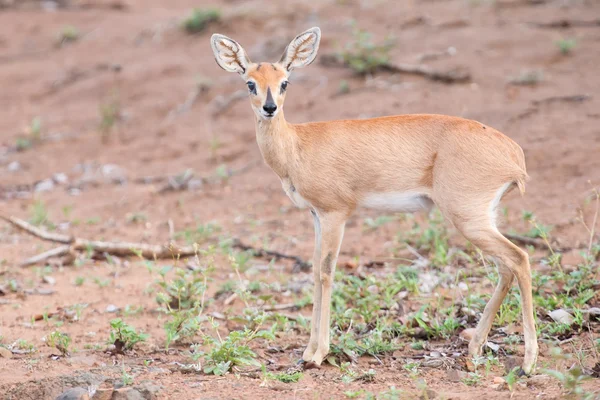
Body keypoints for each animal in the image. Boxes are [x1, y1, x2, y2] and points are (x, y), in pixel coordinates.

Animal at [211, 26, 540, 374]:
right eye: (250, 82)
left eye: (285, 81)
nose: (270, 108)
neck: (298, 145)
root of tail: (512, 152)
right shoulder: (316, 215)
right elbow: (314, 269)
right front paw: (308, 351)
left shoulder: (336, 213)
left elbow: (326, 271)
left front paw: (318, 354)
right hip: (482, 218)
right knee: (506, 267)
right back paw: (476, 348)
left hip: (469, 219)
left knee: (519, 258)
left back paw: (528, 362)